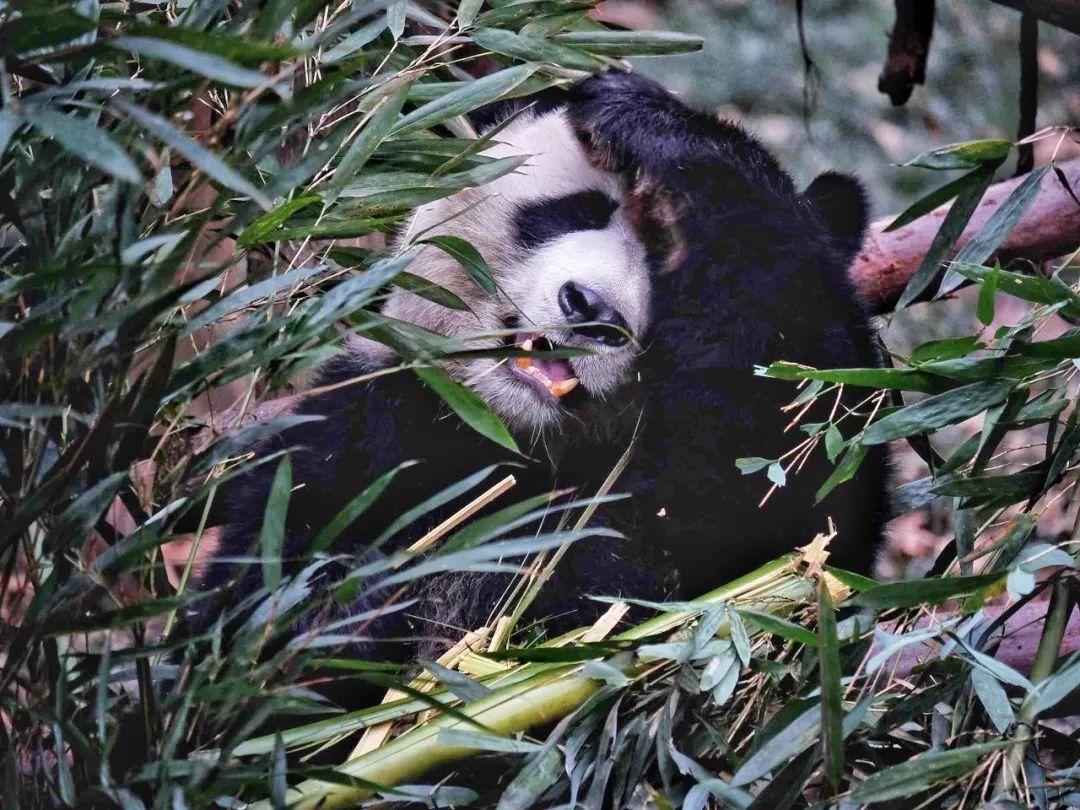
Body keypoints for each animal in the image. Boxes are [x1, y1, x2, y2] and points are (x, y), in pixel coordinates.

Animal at [196, 69, 885, 665]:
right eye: (579, 210)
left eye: (669, 259)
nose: (590, 310)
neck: (513, 443)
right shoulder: (354, 440)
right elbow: (264, 593)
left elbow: (790, 464)